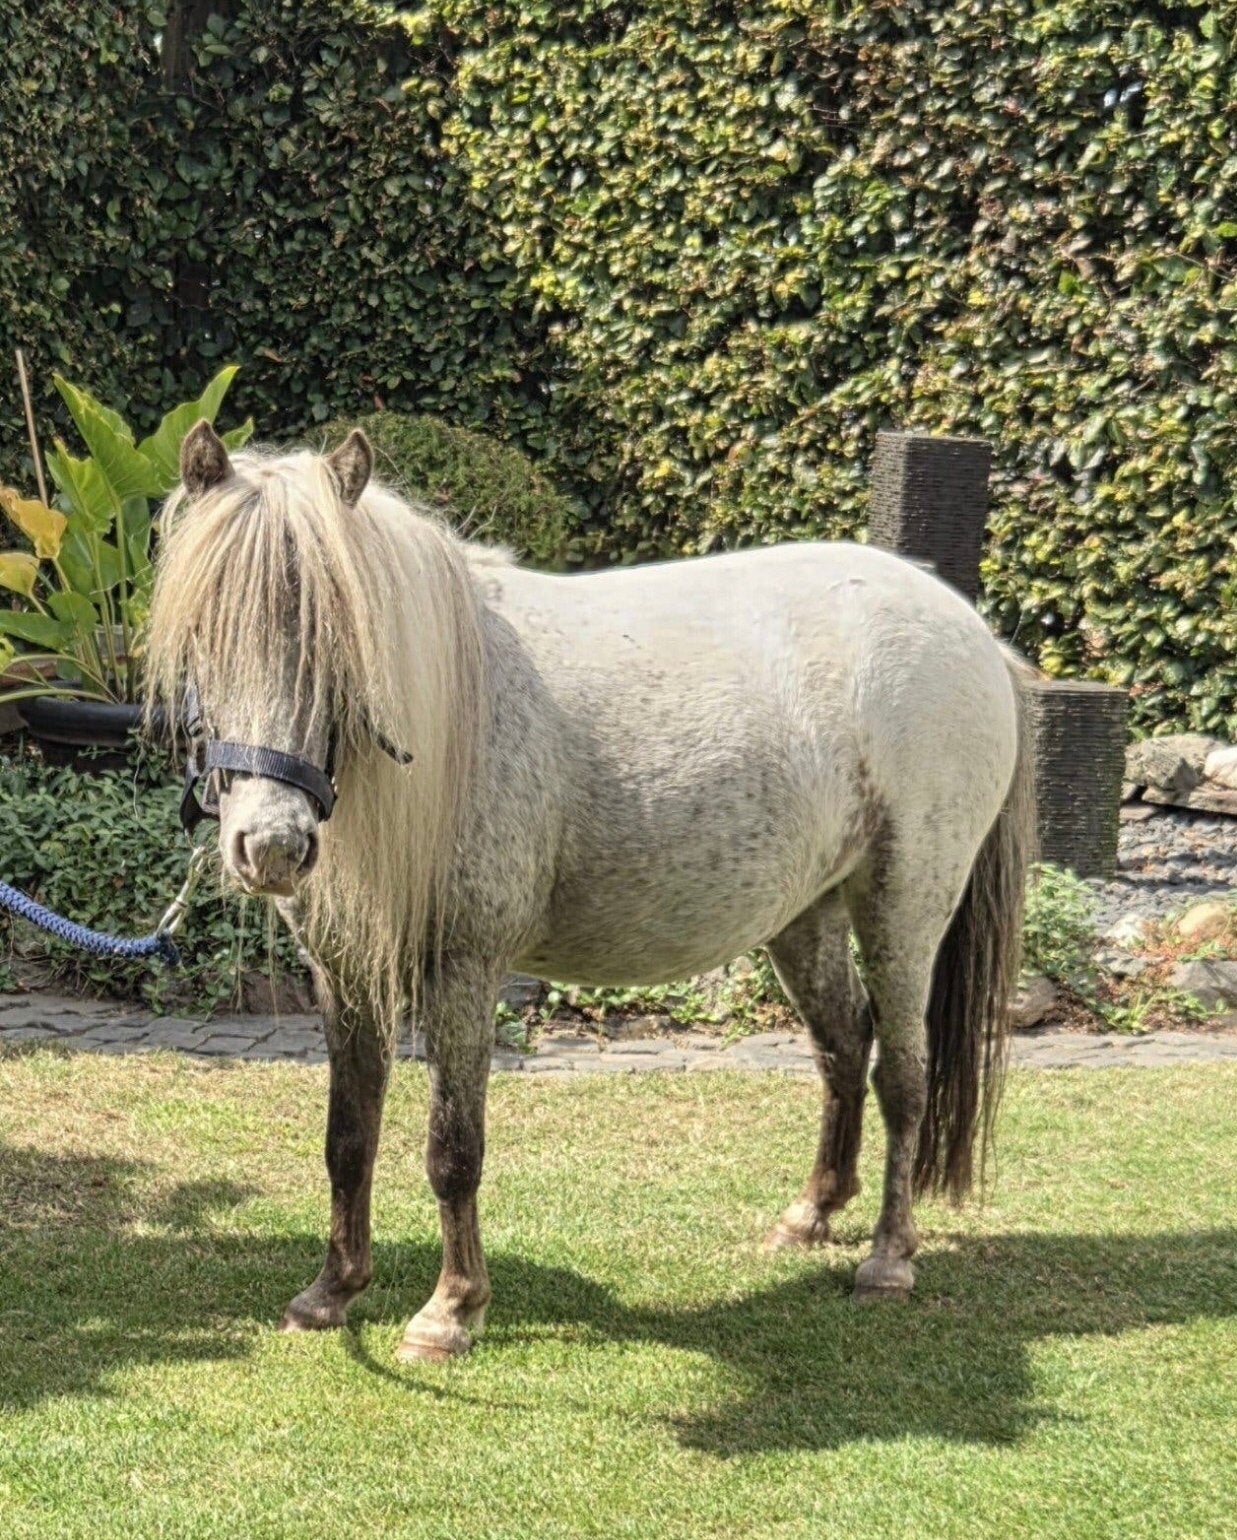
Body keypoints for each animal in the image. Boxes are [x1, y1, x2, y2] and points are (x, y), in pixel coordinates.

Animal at [146, 420, 1035, 1362]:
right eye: (202, 637)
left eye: (346, 643)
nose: (273, 846)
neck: (457, 712)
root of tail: (971, 632)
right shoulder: (345, 971)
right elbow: (348, 1136)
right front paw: (331, 1294)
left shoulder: (465, 970)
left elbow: (452, 1148)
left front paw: (450, 1312)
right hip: (805, 914)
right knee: (841, 1045)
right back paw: (810, 1216)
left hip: (904, 902)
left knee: (902, 1071)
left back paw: (888, 1260)